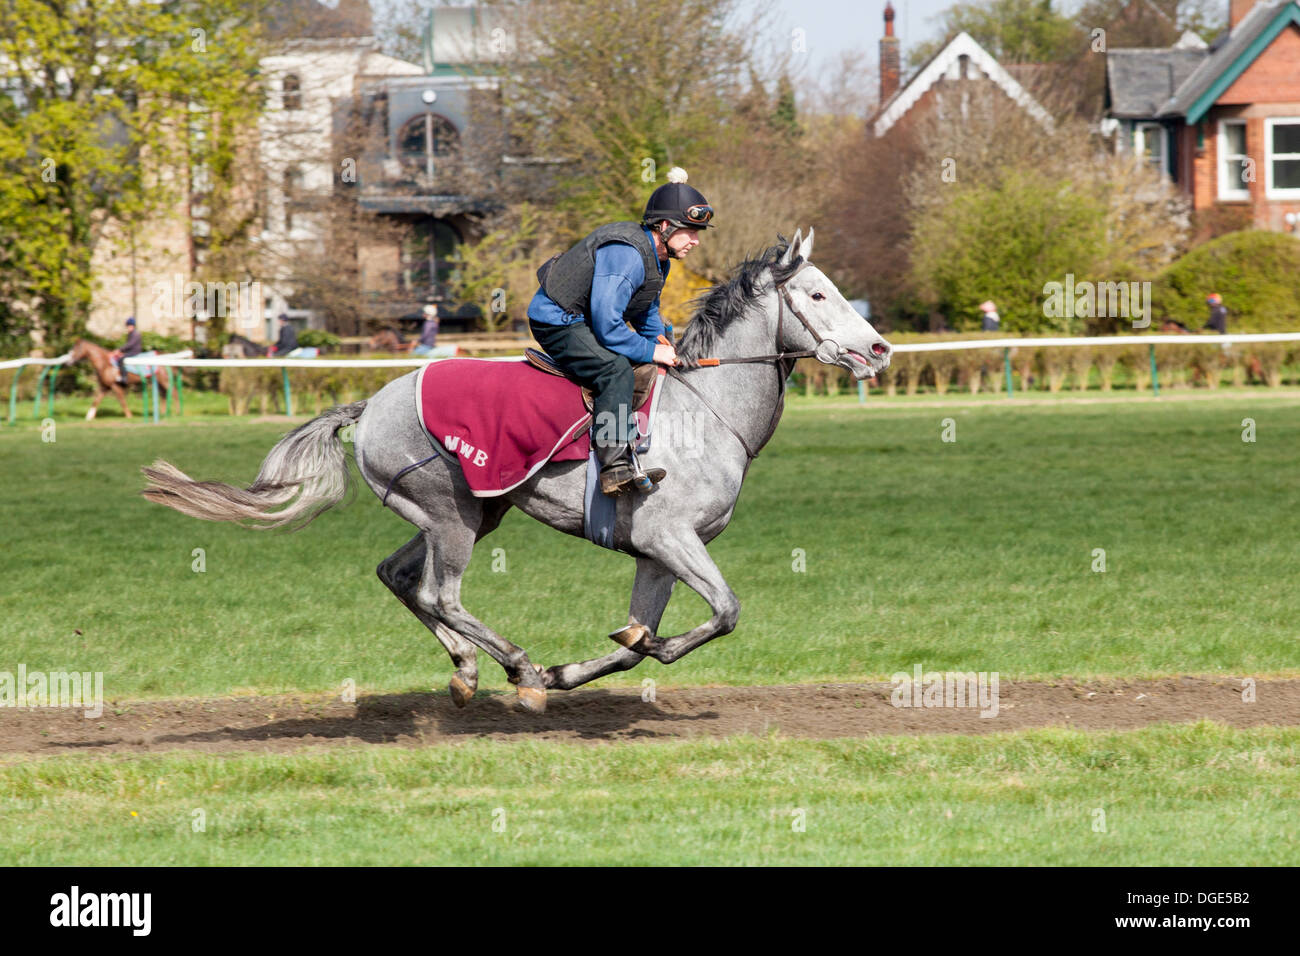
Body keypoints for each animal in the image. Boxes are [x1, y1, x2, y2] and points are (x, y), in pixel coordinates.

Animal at [138, 230, 892, 713]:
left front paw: (578, 667)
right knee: (440, 593)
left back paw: (470, 670)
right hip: (451, 514)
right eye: (817, 296)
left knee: (398, 577)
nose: (880, 349)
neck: (705, 411)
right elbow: (725, 612)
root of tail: (371, 402)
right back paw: (516, 665)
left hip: (467, 512)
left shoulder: (655, 553)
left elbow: (637, 645)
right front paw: (557, 670)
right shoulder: (672, 538)